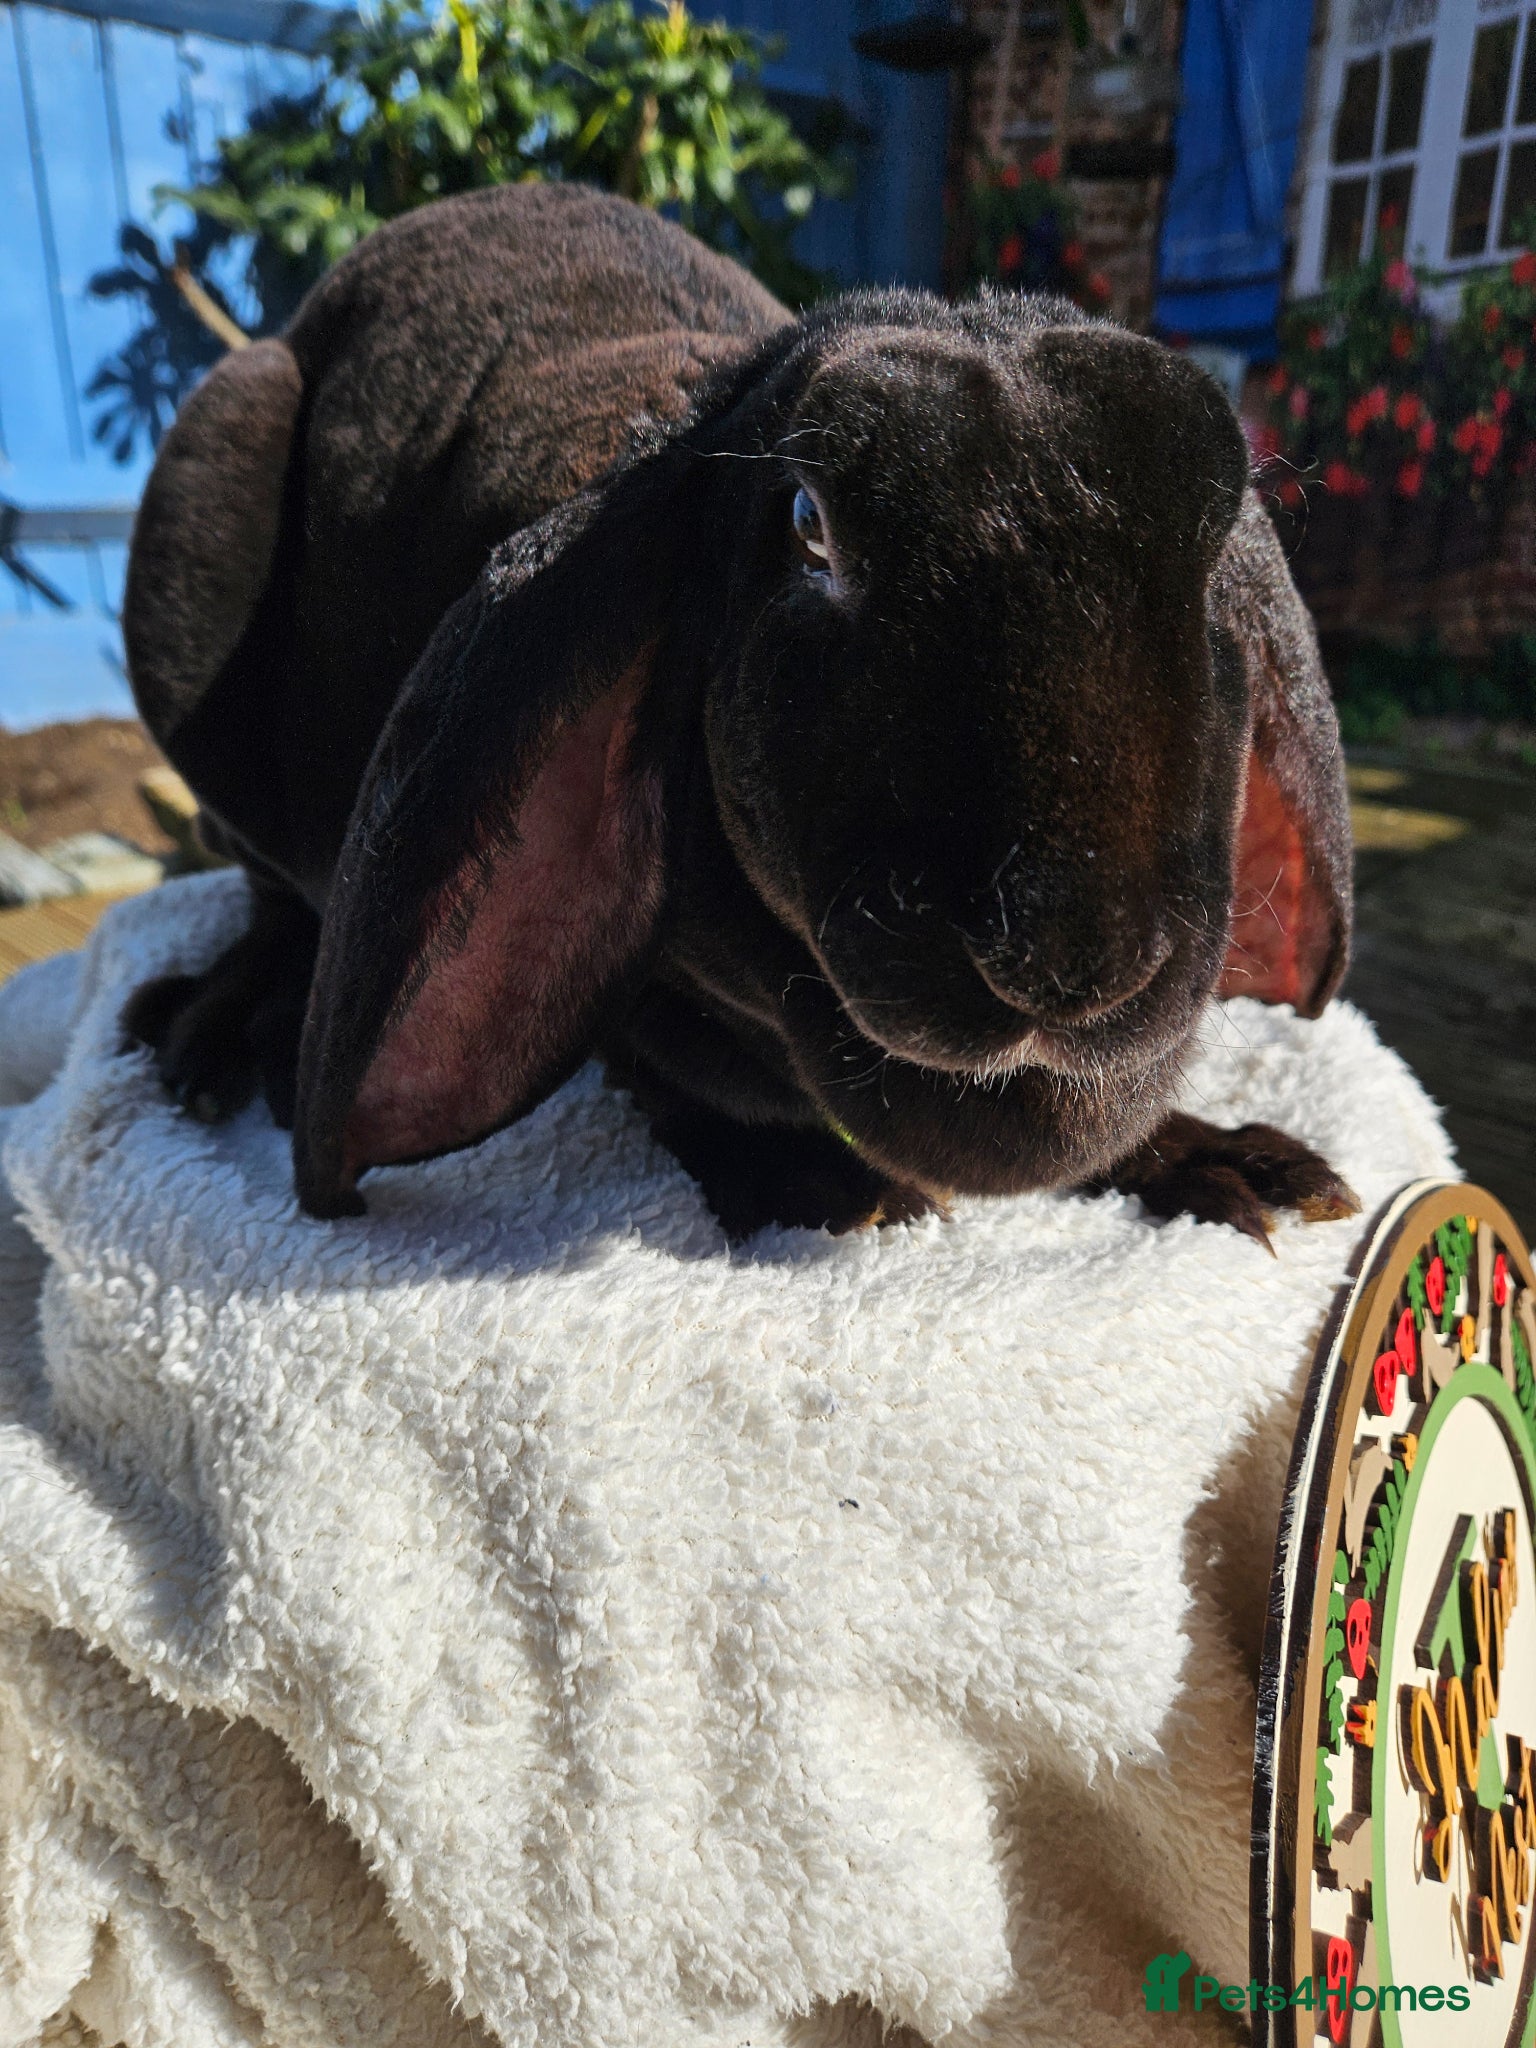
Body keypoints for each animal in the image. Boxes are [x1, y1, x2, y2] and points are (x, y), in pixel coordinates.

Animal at [122, 182, 1358, 1245]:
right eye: (808, 526)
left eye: (1218, 538)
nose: (1077, 963)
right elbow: (665, 1064)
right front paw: (832, 1187)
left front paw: (1243, 1168)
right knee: (270, 886)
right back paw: (212, 1034)